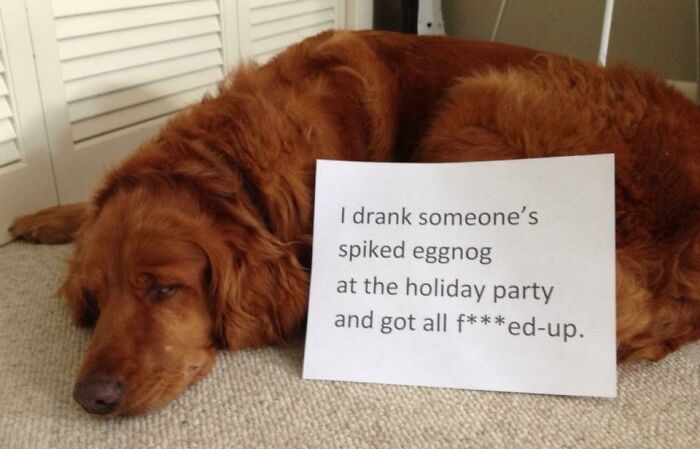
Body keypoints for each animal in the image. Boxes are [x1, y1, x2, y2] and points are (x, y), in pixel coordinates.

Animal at [9, 30, 699, 416]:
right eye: (96, 300)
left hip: (472, 104)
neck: (238, 166)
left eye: (163, 288)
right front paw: (43, 216)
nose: (91, 398)